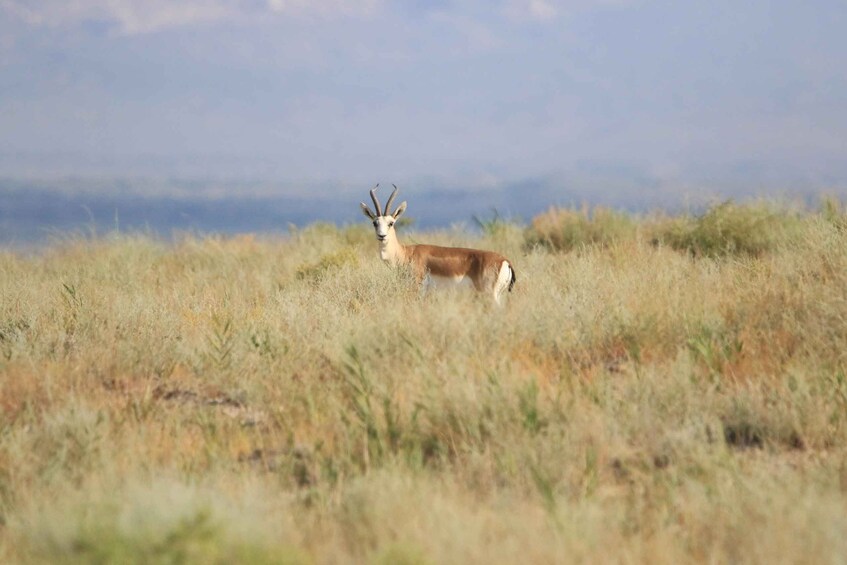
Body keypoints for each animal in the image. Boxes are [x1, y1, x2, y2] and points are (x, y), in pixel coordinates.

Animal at [360, 184, 516, 304]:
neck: (406, 253)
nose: (382, 236)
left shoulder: (418, 289)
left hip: (490, 296)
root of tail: (505, 261)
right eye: (375, 223)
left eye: (391, 223)